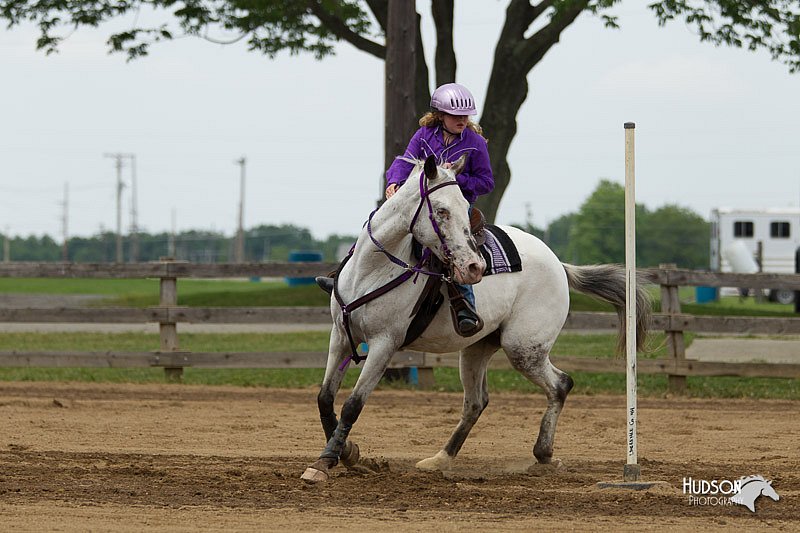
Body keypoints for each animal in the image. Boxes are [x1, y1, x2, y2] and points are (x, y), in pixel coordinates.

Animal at [300, 155, 648, 482]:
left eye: (465, 208)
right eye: (440, 210)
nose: (475, 267)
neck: (372, 270)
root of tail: (560, 265)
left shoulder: (385, 344)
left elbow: (353, 404)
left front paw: (326, 461)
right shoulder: (341, 336)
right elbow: (325, 398)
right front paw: (346, 451)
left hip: (524, 348)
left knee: (560, 384)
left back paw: (544, 454)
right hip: (477, 348)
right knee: (476, 402)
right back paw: (440, 459)